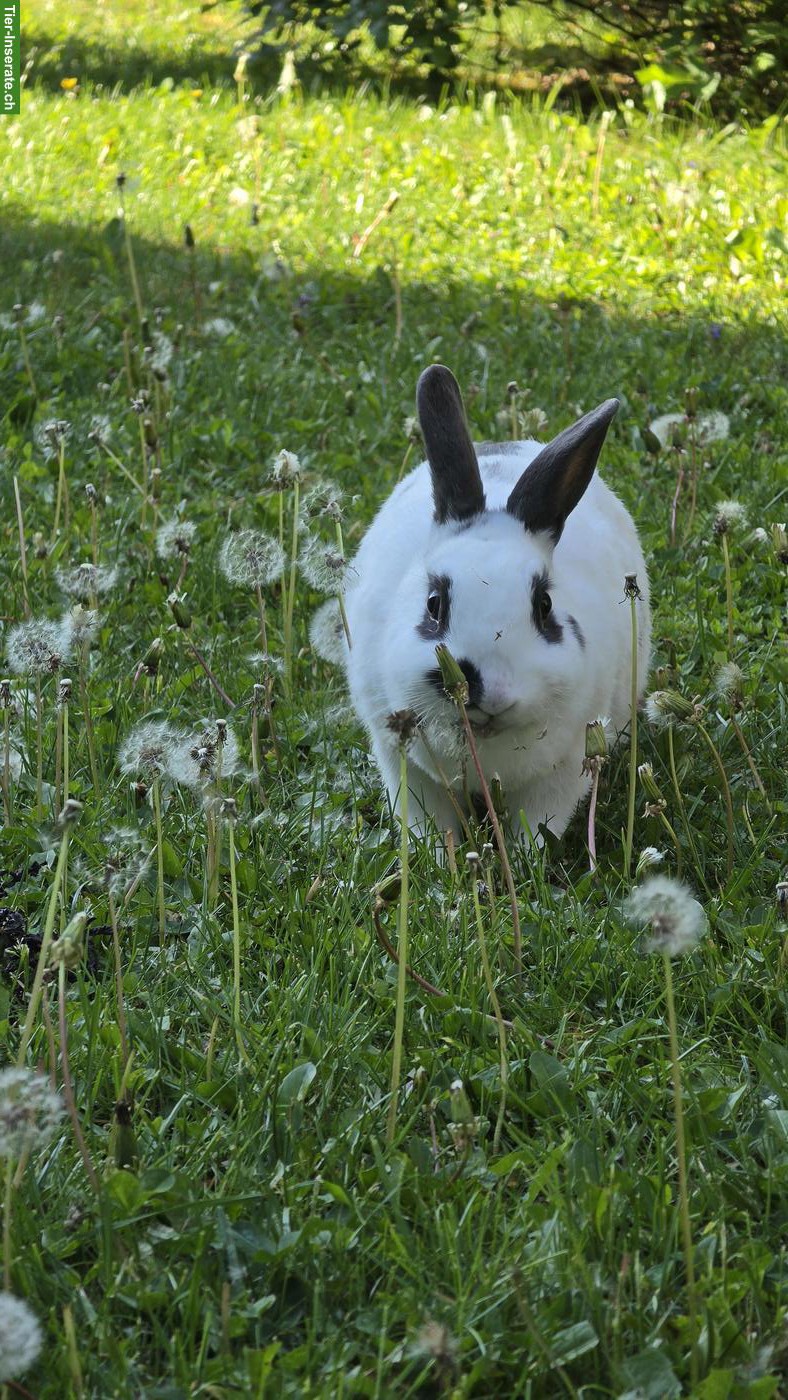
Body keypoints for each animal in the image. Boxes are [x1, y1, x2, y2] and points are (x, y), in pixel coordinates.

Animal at [342, 364, 651, 845]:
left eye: (544, 605)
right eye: (434, 604)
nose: (490, 691)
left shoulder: (565, 769)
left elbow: (538, 825)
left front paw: (526, 859)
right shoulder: (402, 764)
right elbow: (426, 824)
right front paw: (438, 856)